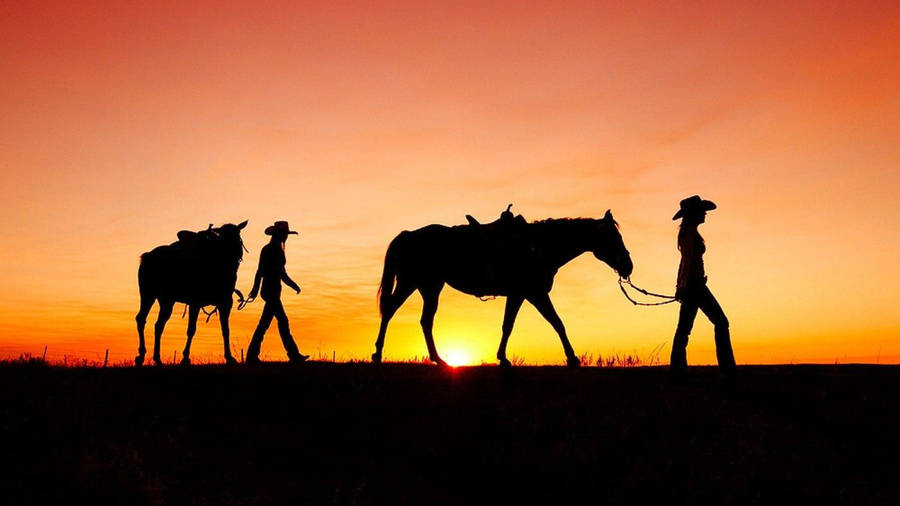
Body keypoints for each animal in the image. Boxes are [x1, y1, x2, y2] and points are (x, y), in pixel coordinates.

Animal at [135, 220, 248, 366]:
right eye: (223, 237)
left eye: (238, 236)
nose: (236, 255)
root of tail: (148, 256)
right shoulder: (195, 303)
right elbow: (191, 330)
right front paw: (185, 358)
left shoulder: (225, 304)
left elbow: (225, 330)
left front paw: (229, 357)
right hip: (148, 295)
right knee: (141, 319)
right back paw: (141, 355)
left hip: (166, 301)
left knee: (158, 325)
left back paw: (157, 359)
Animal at [373, 210, 633, 367]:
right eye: (614, 238)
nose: (628, 266)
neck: (538, 246)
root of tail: (408, 235)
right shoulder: (535, 293)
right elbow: (557, 322)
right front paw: (572, 357)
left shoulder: (519, 295)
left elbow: (508, 325)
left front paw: (502, 357)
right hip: (413, 283)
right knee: (392, 311)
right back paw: (378, 354)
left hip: (428, 287)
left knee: (422, 320)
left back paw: (437, 360)